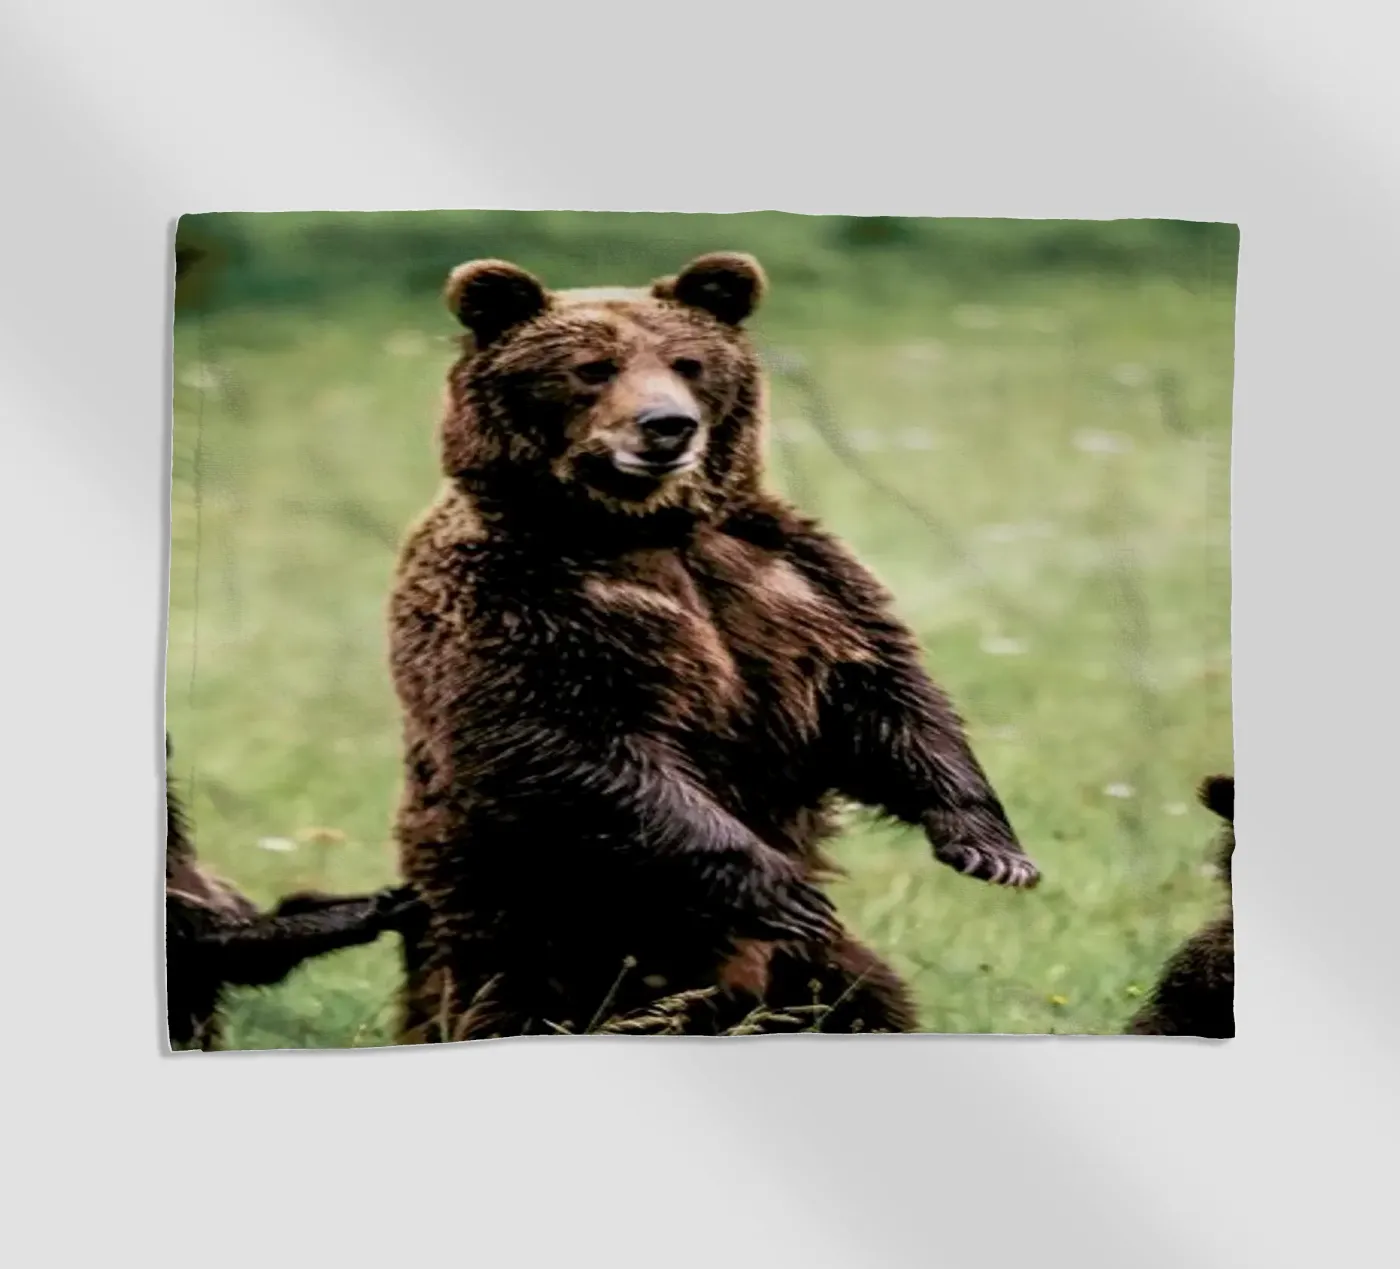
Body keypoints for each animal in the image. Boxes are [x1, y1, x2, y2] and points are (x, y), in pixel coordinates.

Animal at [388, 251, 1040, 1043]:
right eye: (592, 368)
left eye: (688, 362)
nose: (667, 425)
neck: (637, 528)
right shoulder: (516, 600)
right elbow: (566, 740)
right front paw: (784, 889)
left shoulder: (789, 580)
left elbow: (882, 695)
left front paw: (990, 847)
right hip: (532, 927)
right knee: (510, 1008)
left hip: (805, 971)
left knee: (864, 1001)